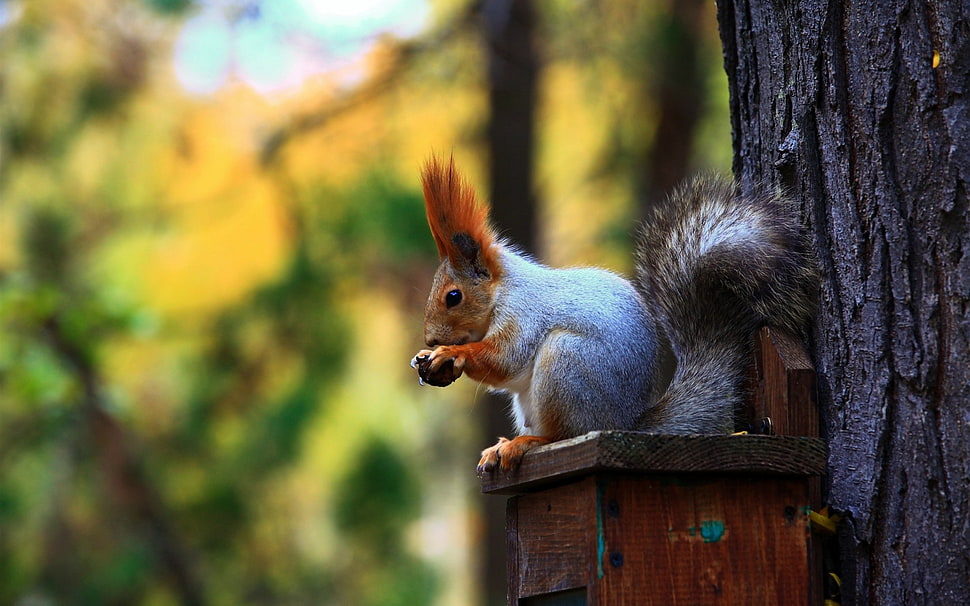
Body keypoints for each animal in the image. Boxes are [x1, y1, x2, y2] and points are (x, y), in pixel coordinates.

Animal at [410, 155, 816, 473]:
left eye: (453, 296)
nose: (431, 338)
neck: (502, 290)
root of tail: (626, 422)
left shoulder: (524, 314)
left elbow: (506, 359)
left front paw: (449, 354)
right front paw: (426, 357)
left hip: (566, 365)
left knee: (563, 434)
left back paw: (525, 443)